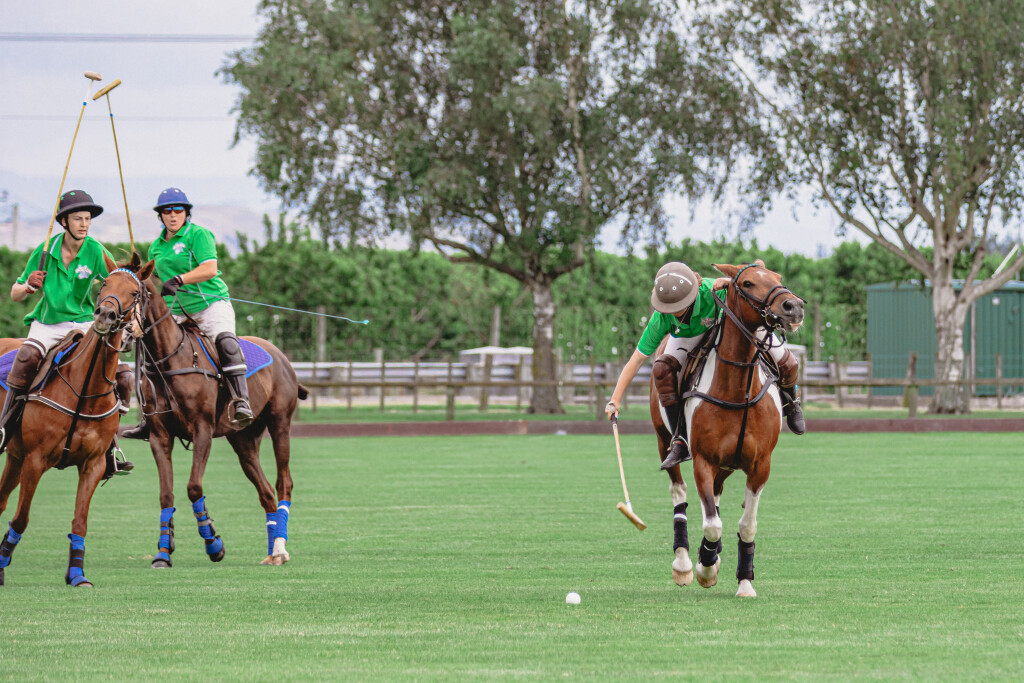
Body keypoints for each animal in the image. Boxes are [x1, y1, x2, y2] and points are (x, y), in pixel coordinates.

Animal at [103, 254, 308, 568]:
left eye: (135, 292)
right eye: (102, 285)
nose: (105, 316)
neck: (168, 360)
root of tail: (280, 354)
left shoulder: (202, 430)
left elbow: (193, 487)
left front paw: (214, 543)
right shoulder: (160, 436)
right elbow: (166, 494)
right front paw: (163, 553)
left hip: (279, 423)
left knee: (283, 482)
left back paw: (281, 550)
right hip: (242, 438)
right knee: (265, 491)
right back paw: (272, 551)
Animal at [651, 260, 804, 597]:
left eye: (777, 277)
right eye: (747, 283)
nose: (794, 306)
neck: (737, 388)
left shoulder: (760, 465)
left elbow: (746, 525)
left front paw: (744, 582)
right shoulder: (704, 461)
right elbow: (711, 524)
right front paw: (705, 567)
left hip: (729, 463)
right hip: (663, 437)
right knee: (678, 489)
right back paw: (684, 564)